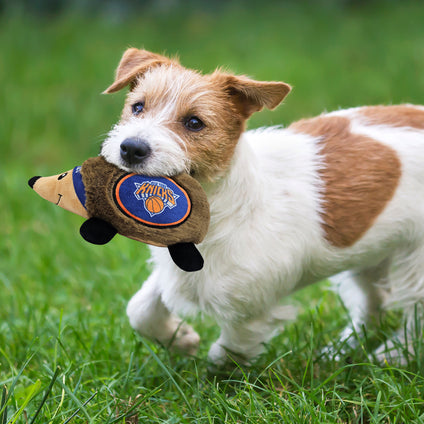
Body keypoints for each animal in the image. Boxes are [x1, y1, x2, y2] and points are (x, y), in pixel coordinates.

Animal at [100, 48, 424, 366]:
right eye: (138, 107)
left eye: (194, 123)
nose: (131, 148)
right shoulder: (176, 272)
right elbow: (140, 309)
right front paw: (180, 339)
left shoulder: (251, 309)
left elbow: (227, 353)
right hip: (369, 255)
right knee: (374, 303)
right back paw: (341, 352)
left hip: (414, 264)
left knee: (414, 315)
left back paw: (394, 355)